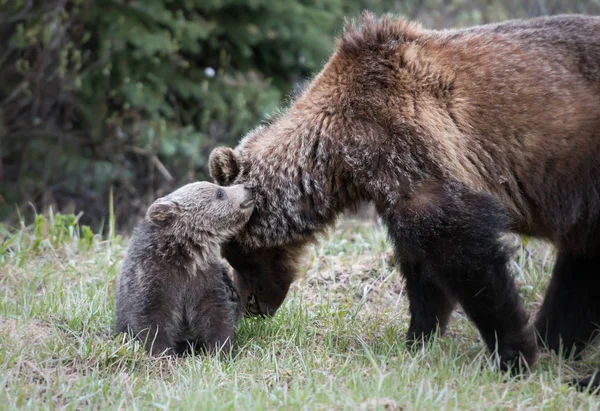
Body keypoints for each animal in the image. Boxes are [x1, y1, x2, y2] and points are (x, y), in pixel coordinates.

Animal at [113, 182, 254, 356]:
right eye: (220, 192)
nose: (248, 188)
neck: (185, 256)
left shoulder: (204, 277)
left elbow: (216, 313)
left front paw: (220, 350)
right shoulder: (152, 278)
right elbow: (151, 319)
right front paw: (163, 352)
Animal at [207, 12, 600, 380]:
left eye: (236, 252)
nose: (251, 306)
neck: (340, 155)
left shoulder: (413, 147)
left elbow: (464, 248)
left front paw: (512, 353)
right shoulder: (394, 182)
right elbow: (421, 265)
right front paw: (418, 339)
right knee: (581, 265)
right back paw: (558, 341)